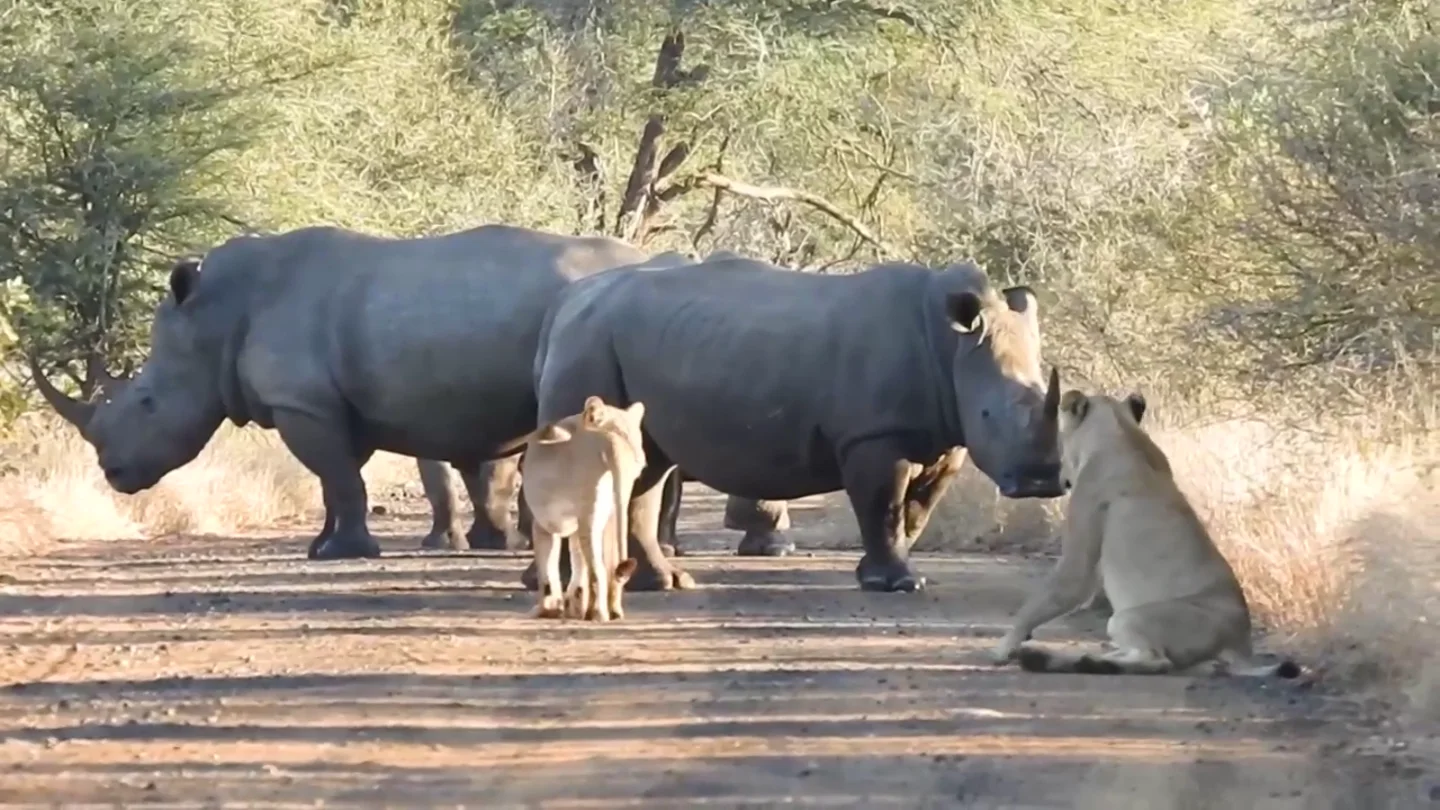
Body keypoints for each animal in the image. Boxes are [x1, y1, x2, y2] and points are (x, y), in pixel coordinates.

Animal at [520, 395, 646, 622]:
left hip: (590, 514)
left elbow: (547, 567)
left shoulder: (544, 525)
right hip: (611, 510)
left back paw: (597, 614)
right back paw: (613, 611)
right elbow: (579, 563)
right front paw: (574, 605)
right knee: (609, 565)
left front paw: (548, 608)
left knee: (598, 569)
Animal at [989, 389, 1301, 679]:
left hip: (1129, 617)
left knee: (1157, 661)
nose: (1060, 477)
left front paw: (1003, 647)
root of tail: (1241, 645)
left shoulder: (1078, 562)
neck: (1120, 430)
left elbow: (1039, 602)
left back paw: (1078, 662)